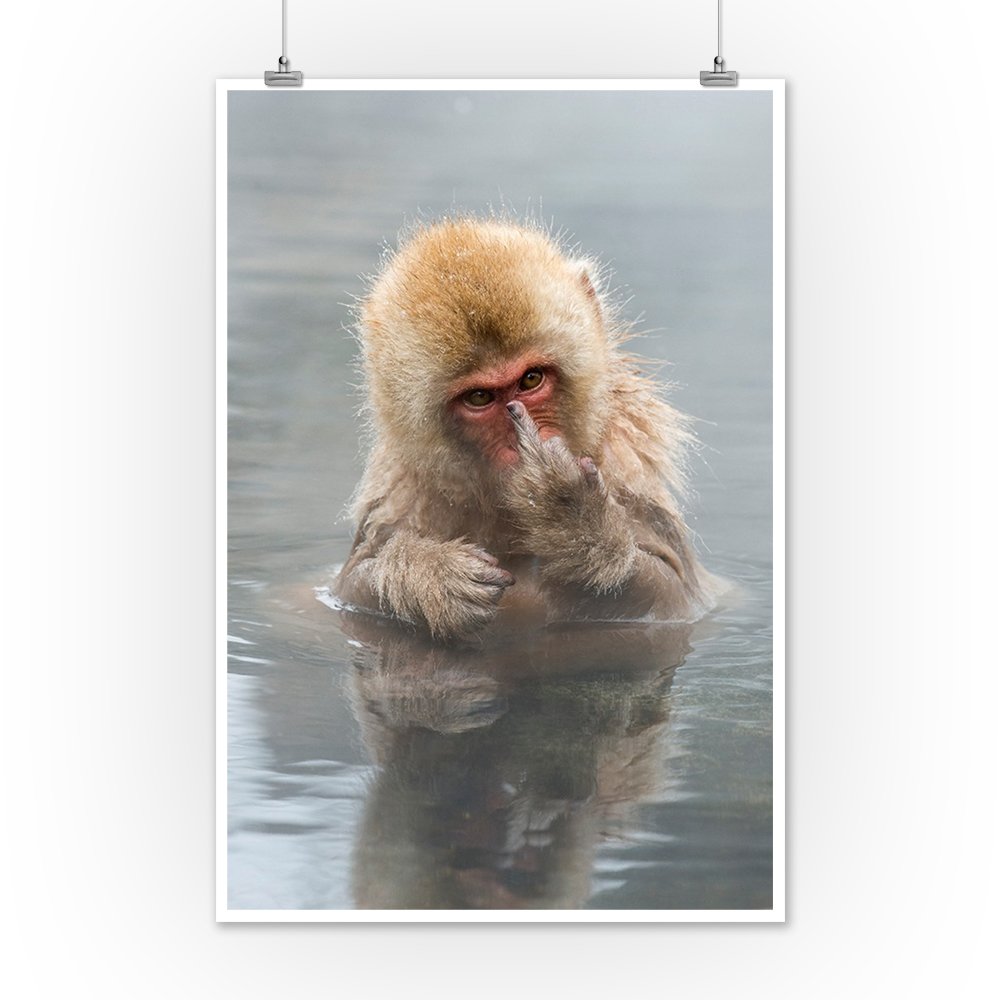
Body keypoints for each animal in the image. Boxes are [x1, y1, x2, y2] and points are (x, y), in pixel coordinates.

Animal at [334, 217, 717, 641]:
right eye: (480, 398)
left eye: (531, 379)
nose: (521, 447)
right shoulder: (401, 492)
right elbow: (349, 586)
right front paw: (427, 573)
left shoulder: (627, 468)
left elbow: (676, 595)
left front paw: (572, 517)